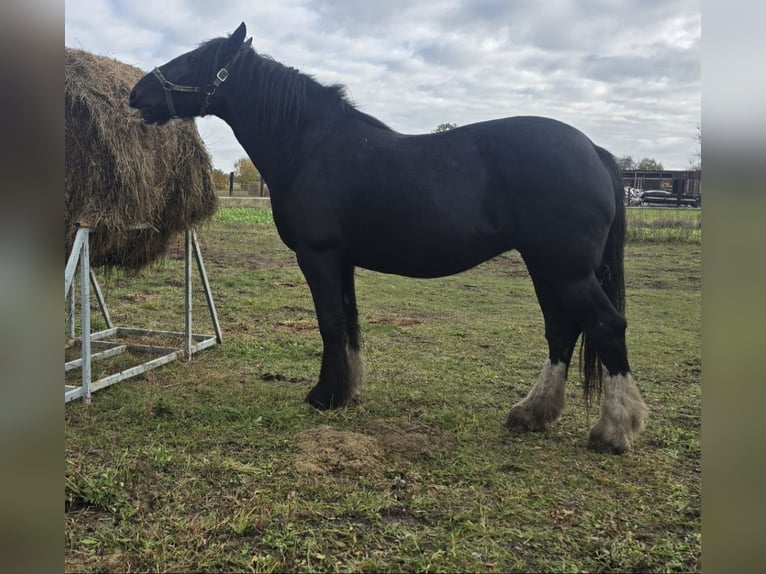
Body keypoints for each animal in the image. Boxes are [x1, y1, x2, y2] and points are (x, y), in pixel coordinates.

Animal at [129, 22, 648, 453]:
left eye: (193, 59)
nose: (137, 93)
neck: (309, 144)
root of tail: (593, 150)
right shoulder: (342, 261)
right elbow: (349, 323)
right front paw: (348, 390)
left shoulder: (318, 256)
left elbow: (330, 323)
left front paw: (324, 395)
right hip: (547, 267)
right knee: (562, 329)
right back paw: (532, 413)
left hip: (565, 269)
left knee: (606, 326)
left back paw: (613, 431)